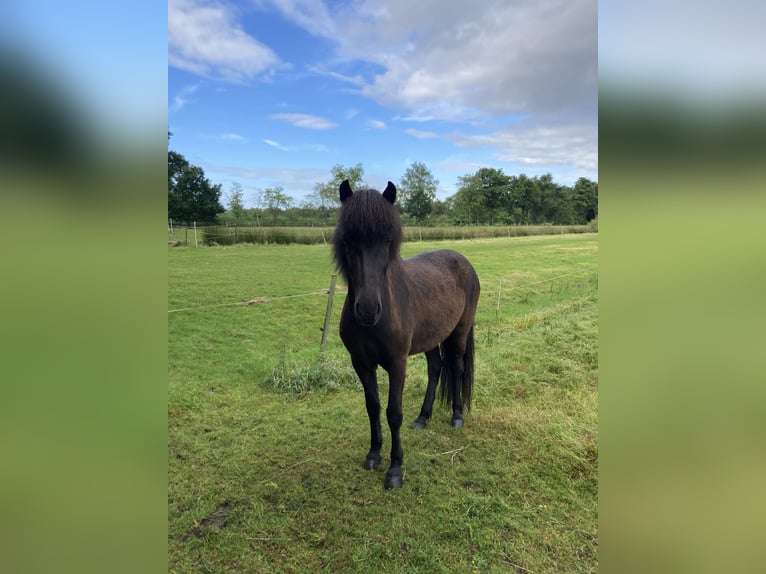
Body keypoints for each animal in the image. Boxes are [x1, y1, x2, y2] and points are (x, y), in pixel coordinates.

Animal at [334, 180, 484, 490]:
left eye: (387, 240)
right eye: (348, 240)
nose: (368, 310)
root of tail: (463, 261)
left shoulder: (397, 363)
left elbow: (394, 413)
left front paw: (395, 469)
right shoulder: (361, 363)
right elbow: (373, 406)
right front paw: (374, 454)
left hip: (459, 333)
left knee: (457, 368)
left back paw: (457, 416)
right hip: (431, 337)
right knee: (436, 367)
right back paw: (423, 418)